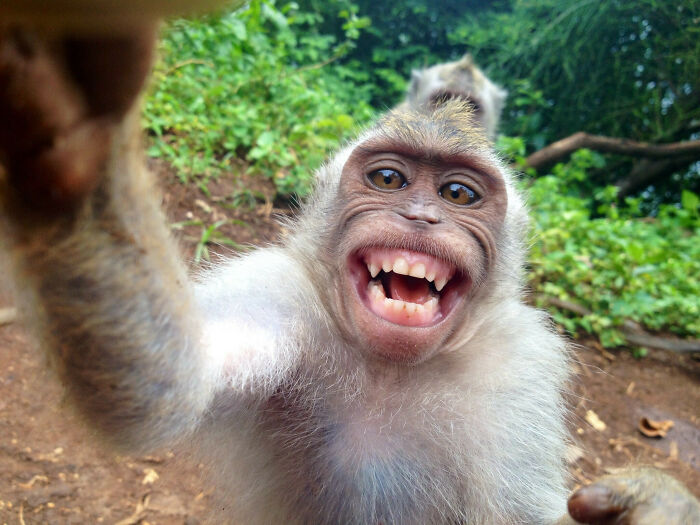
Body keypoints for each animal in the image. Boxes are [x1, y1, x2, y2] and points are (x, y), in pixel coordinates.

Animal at [0, 25, 698, 525]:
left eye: (458, 194)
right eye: (389, 179)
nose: (420, 217)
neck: (392, 367)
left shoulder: (518, 372)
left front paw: (656, 508)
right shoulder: (279, 292)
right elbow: (166, 387)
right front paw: (74, 122)